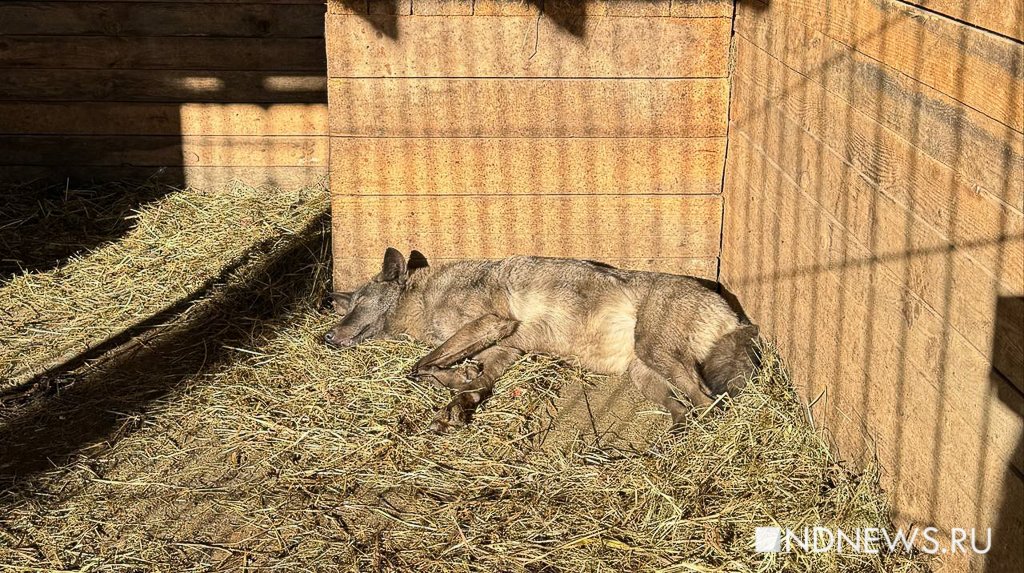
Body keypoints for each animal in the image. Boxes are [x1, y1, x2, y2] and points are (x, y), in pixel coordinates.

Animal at [323, 248, 757, 431]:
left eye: (356, 305)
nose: (326, 337)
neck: (427, 297)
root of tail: (735, 316)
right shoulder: (503, 350)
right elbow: (468, 383)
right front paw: (459, 400)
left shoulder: (494, 323)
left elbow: (421, 365)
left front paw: (455, 379)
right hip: (645, 376)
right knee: (684, 409)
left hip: (658, 358)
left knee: (709, 403)